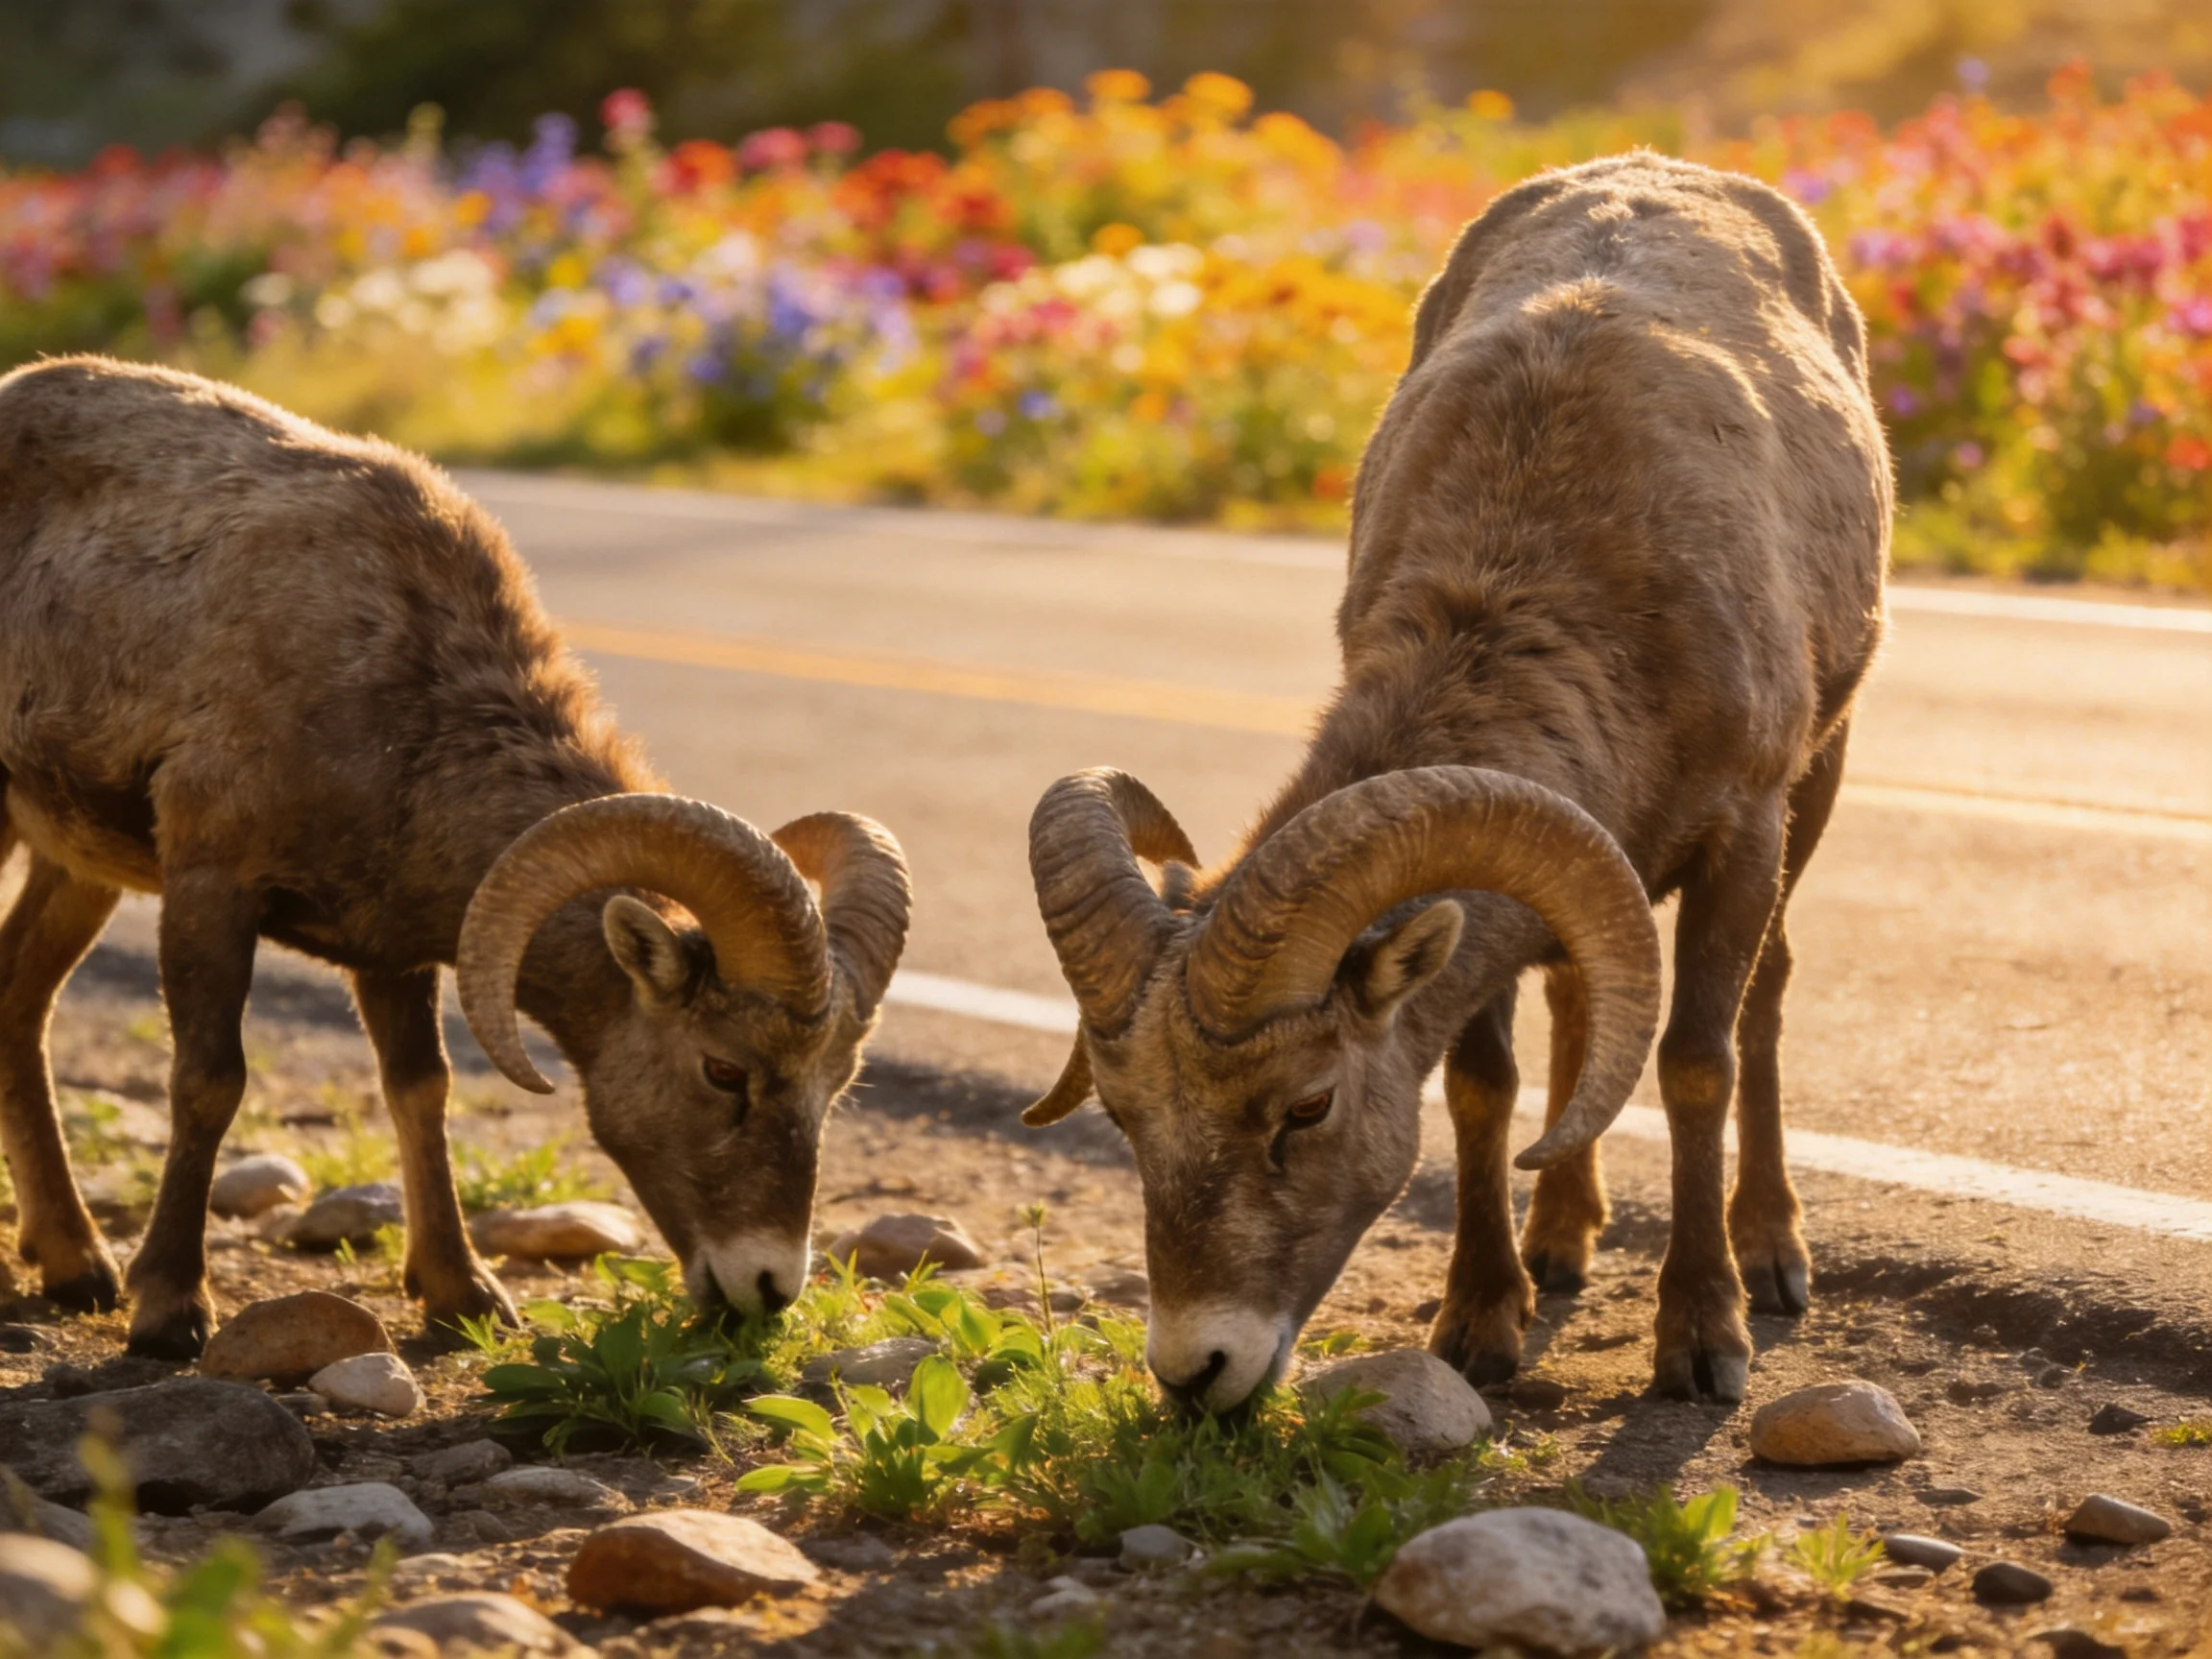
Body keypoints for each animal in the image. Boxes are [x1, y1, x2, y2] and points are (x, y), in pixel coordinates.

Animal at [0, 356, 911, 1358]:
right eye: (722, 1071)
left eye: (838, 1086)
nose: (767, 1288)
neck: (404, 706)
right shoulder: (211, 888)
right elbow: (209, 1082)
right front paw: (168, 1311)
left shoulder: (388, 951)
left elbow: (421, 1091)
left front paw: (462, 1294)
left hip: (74, 870)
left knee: (19, 1005)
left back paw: (74, 1264)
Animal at [1022, 155, 1890, 1409]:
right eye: (1125, 1115)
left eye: (1308, 1106)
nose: (1197, 1371)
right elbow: (1486, 1083)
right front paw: (1481, 1323)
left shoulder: (1745, 833)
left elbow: (1697, 1062)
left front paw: (1703, 1340)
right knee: (1584, 1002)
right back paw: (1560, 1238)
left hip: (1820, 782)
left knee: (1762, 1000)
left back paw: (1772, 1254)